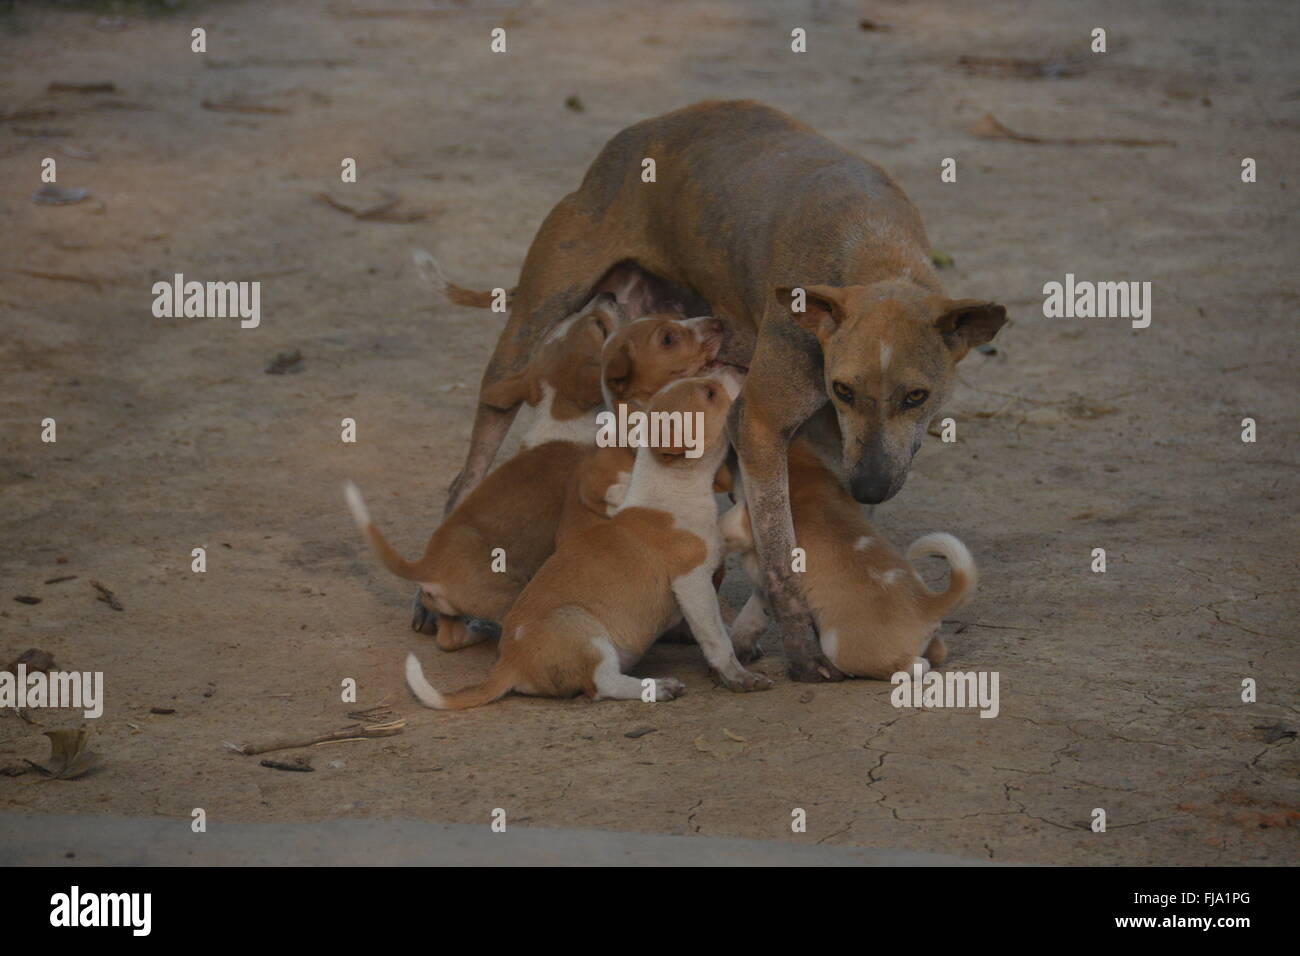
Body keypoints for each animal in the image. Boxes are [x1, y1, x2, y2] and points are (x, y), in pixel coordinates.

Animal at [345, 297, 618, 650]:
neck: (559, 410)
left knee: (449, 638)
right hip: (509, 592)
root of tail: (428, 566)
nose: (608, 295)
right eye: (599, 326)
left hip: (451, 612)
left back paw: (479, 631)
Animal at [408, 366, 769, 712]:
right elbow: (716, 638)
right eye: (709, 393)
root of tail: (510, 663)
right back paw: (658, 687)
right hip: (583, 629)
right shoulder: (692, 583)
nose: (740, 369)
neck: (673, 489)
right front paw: (737, 674)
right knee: (602, 685)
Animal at [722, 442, 977, 681]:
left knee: (914, 666)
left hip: (838, 646)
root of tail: (927, 604)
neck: (802, 469)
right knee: (938, 652)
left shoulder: (742, 523)